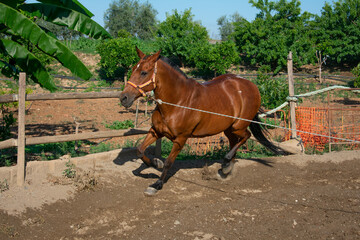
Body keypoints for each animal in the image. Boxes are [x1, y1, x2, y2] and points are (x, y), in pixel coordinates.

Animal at [119, 47, 288, 196]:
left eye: (144, 72)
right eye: (133, 69)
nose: (123, 98)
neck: (177, 102)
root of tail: (251, 85)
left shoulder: (181, 139)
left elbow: (168, 162)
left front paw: (156, 185)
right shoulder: (156, 131)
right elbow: (140, 150)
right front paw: (155, 163)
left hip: (238, 126)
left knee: (245, 136)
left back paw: (225, 163)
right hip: (228, 128)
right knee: (234, 142)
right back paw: (226, 169)